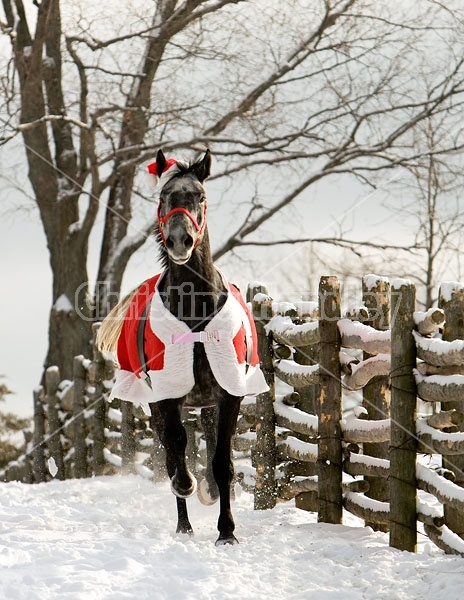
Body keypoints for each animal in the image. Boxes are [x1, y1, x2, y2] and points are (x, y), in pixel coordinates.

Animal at [98, 150, 268, 544]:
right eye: (164, 197)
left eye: (200, 197)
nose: (180, 240)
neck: (194, 311)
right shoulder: (166, 394)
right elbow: (176, 449)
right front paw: (186, 488)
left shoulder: (228, 393)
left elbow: (221, 461)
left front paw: (227, 531)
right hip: (156, 401)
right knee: (173, 449)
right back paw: (184, 522)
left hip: (206, 401)